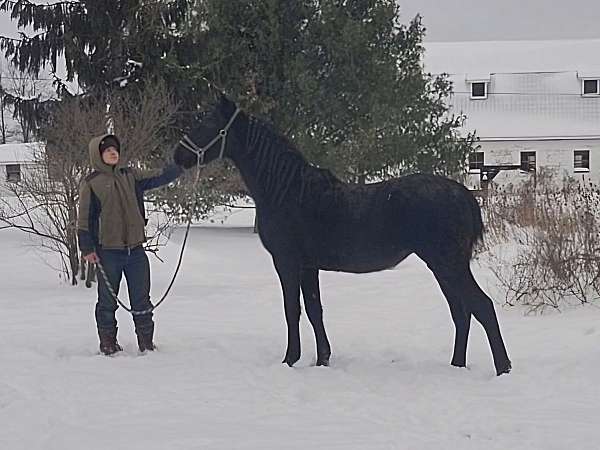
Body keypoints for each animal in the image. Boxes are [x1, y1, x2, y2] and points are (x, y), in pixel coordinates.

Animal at [173, 96, 510, 376]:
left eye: (207, 122)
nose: (178, 156)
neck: (288, 189)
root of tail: (463, 195)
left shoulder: (287, 261)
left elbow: (292, 310)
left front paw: (290, 359)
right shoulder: (309, 266)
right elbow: (314, 310)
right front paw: (322, 359)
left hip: (449, 264)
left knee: (481, 307)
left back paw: (502, 368)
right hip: (443, 267)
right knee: (462, 313)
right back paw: (457, 366)